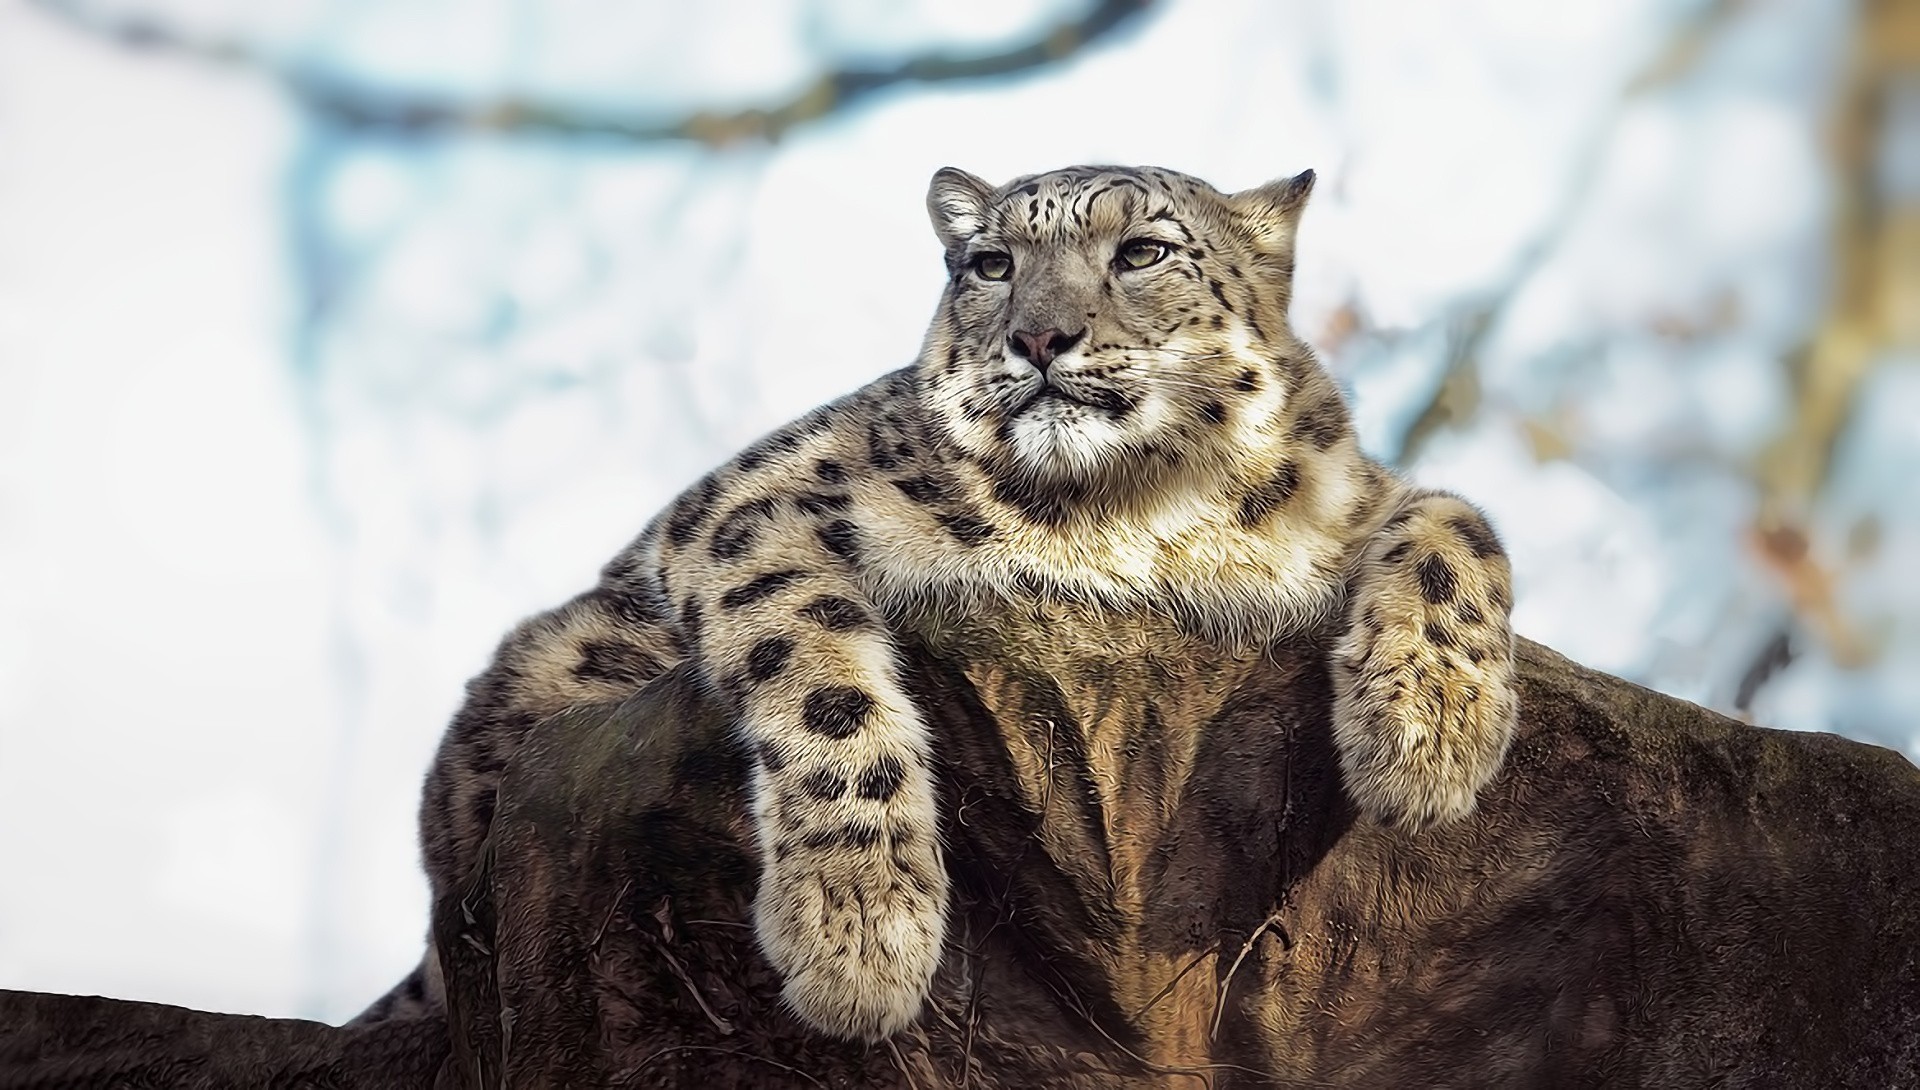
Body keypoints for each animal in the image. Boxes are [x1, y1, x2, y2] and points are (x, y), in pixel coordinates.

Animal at [364, 163, 1519, 1042]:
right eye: (991, 265)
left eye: (1144, 250)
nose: (1040, 338)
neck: (1134, 515)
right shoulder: (750, 514)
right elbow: (825, 682)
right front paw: (860, 937)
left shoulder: (1356, 500)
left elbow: (1458, 522)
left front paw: (1427, 741)